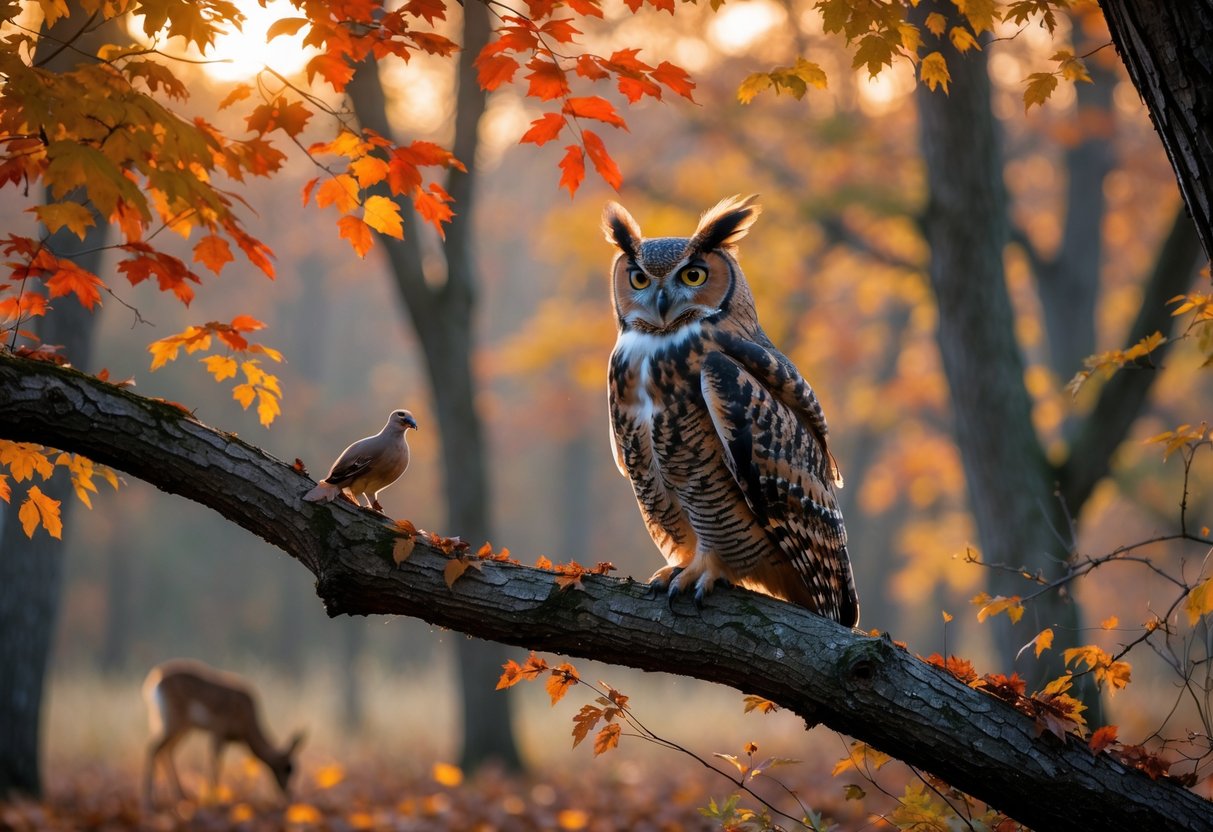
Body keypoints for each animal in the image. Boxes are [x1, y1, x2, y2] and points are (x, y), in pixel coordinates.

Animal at [142, 659, 305, 809]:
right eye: (288, 768)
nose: (289, 795)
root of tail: (156, 677)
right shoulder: (218, 732)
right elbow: (214, 762)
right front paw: (213, 800)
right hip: (175, 725)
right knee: (153, 749)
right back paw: (149, 803)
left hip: (181, 728)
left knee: (166, 751)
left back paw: (182, 797)